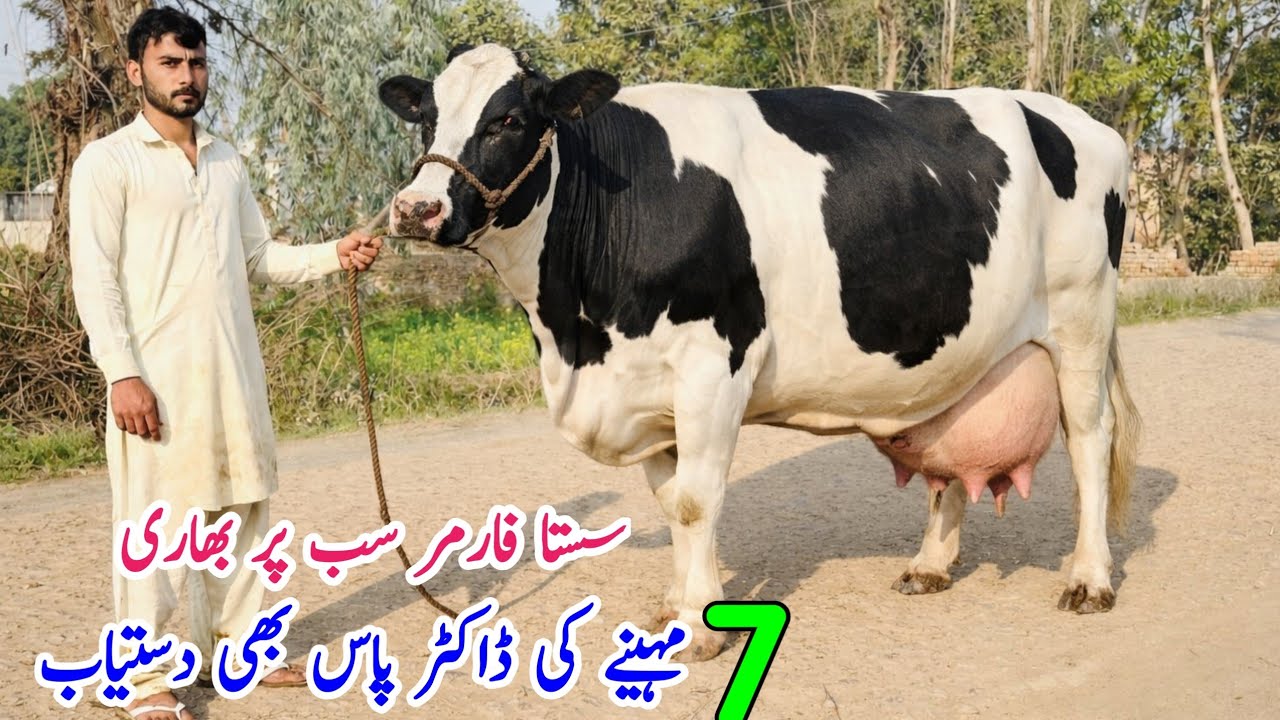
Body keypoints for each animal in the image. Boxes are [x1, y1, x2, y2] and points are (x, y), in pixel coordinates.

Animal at [377, 43, 1141, 660]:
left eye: (508, 120)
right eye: (427, 118)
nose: (415, 209)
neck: (574, 335)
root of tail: (1085, 122)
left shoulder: (711, 365)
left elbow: (695, 501)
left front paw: (696, 626)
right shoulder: (645, 390)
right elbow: (672, 501)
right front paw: (682, 606)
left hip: (1081, 314)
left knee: (1089, 442)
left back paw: (1089, 580)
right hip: (964, 346)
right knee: (951, 452)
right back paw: (929, 565)